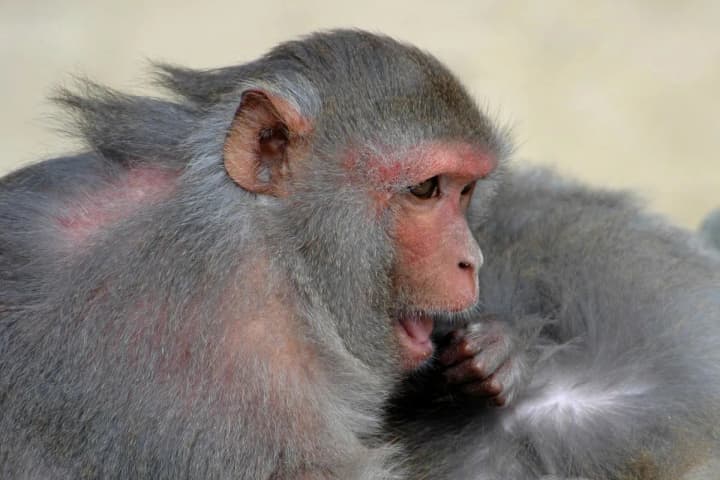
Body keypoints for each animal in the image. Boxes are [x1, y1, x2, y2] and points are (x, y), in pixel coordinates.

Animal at [0, 30, 511, 479]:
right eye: (425, 189)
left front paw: (491, 358)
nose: (472, 261)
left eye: (465, 191)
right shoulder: (247, 373)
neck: (279, 248)